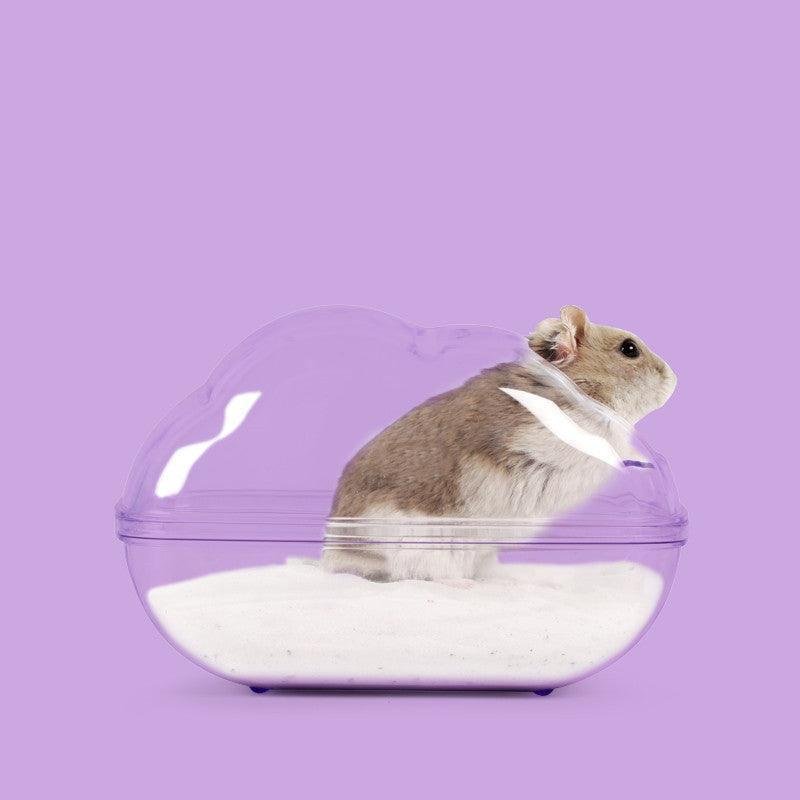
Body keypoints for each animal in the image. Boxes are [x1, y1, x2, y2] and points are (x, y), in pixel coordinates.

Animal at [322, 306, 677, 582]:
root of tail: (338, 552)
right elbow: (608, 444)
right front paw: (639, 457)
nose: (673, 379)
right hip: (419, 542)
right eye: (629, 349)